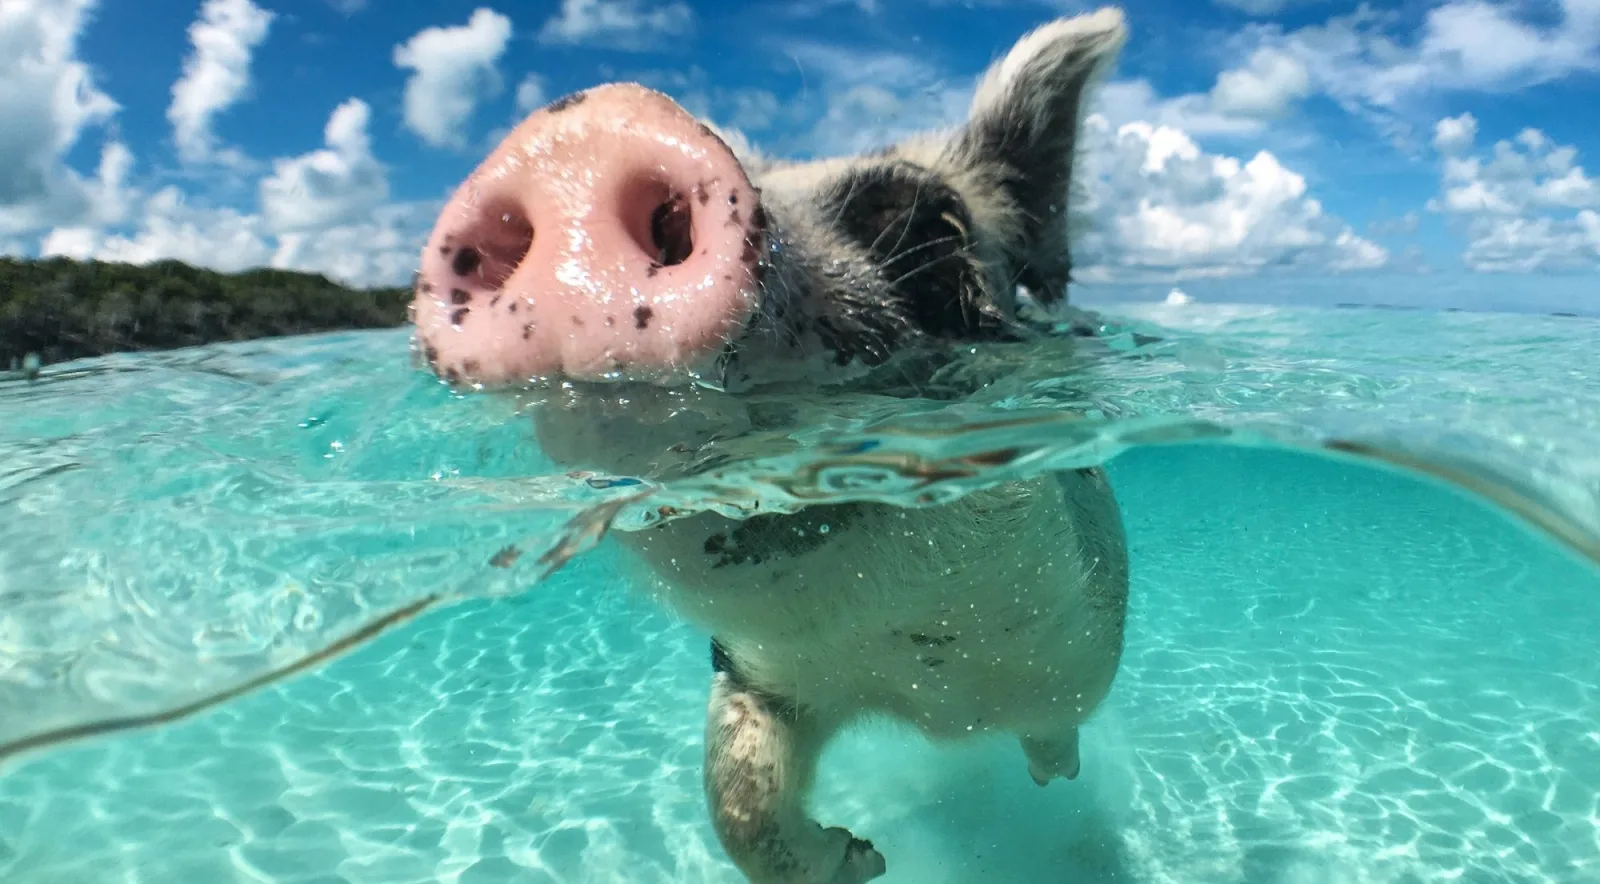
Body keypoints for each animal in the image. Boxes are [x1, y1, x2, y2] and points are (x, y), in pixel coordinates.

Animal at [410, 8, 1132, 883]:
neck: (922, 685)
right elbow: (736, 796)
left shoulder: (1077, 652)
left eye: (930, 227)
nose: (582, 134)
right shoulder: (755, 673)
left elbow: (1057, 728)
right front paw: (864, 858)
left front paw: (1041, 779)